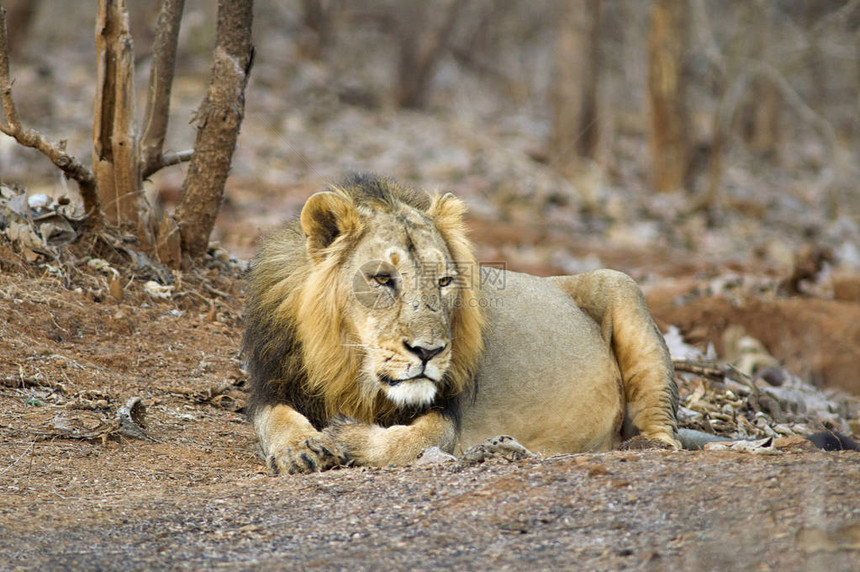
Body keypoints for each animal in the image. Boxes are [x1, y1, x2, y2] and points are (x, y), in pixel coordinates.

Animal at [242, 173, 680, 474]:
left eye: (444, 281)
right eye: (382, 279)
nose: (429, 351)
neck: (349, 367)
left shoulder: (447, 410)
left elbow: (416, 440)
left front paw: (346, 437)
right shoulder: (271, 383)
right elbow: (274, 420)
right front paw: (301, 448)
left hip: (622, 287)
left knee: (664, 430)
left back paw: (639, 448)